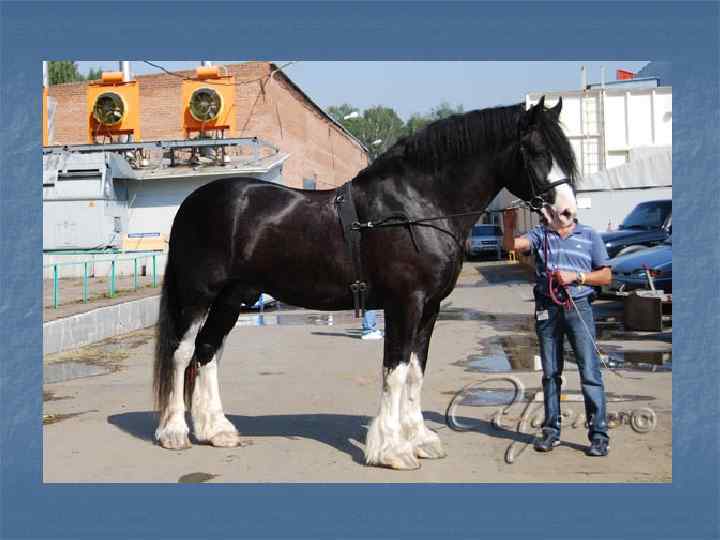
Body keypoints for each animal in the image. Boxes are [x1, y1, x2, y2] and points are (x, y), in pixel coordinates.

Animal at [155, 96, 576, 468]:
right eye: (535, 150)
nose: (567, 214)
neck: (416, 207)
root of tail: (193, 202)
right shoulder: (404, 303)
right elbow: (396, 370)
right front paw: (391, 450)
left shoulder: (430, 308)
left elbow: (416, 370)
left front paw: (420, 439)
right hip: (198, 295)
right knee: (182, 351)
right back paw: (174, 432)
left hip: (232, 297)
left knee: (207, 350)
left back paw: (216, 430)